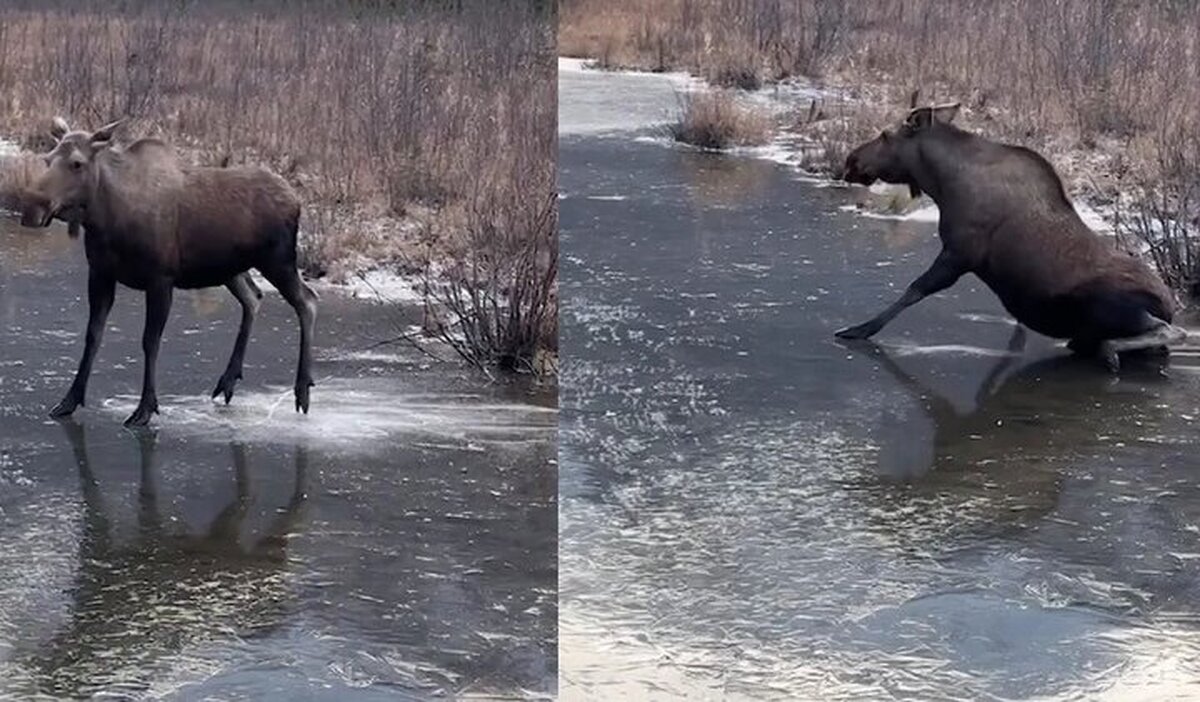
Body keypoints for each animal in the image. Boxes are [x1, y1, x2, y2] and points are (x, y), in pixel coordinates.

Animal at [22, 117, 319, 424]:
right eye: (48, 159)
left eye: (77, 163)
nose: (32, 207)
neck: (105, 219)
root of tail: (296, 200)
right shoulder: (101, 273)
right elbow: (92, 336)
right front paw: (69, 400)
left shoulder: (160, 279)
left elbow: (150, 341)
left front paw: (145, 408)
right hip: (231, 269)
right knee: (253, 297)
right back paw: (228, 380)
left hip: (278, 260)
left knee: (307, 301)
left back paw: (302, 389)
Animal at [840, 102, 1185, 372]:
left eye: (886, 135)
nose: (850, 160)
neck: (941, 185)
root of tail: (1169, 304)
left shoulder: (958, 254)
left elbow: (913, 290)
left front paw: (859, 329)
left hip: (1107, 305)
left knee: (1171, 331)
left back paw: (1110, 350)